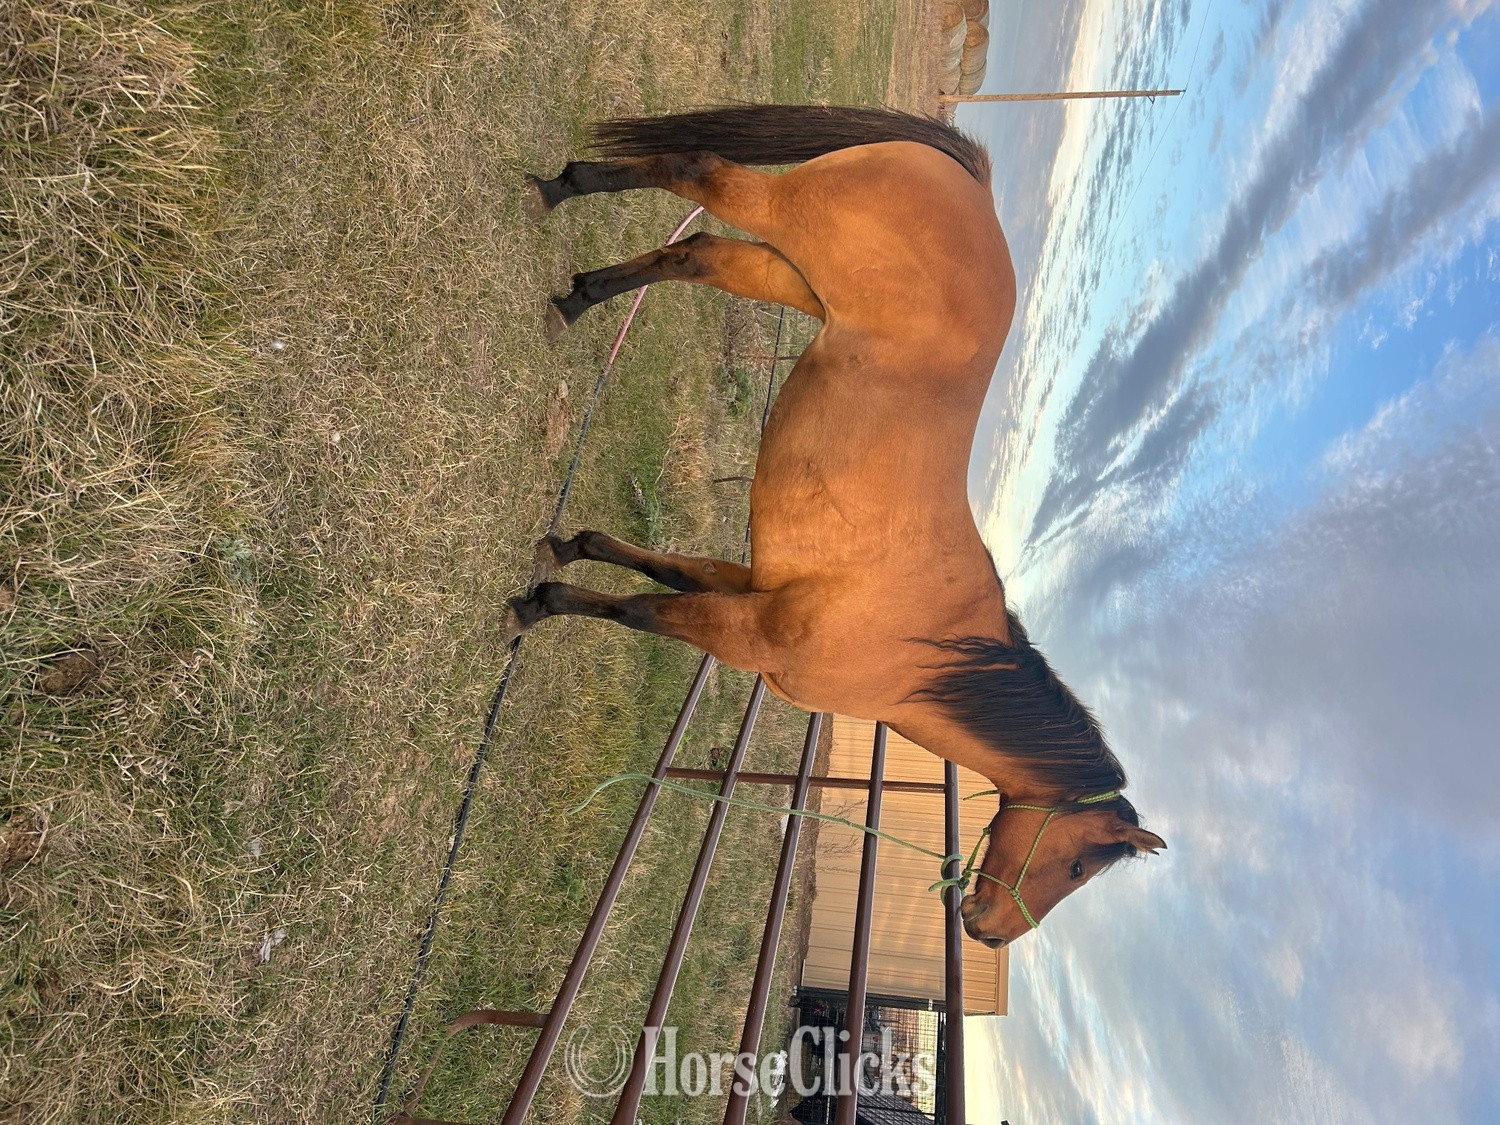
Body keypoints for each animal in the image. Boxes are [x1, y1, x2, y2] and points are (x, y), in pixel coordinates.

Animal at [507, 105, 1165, 947]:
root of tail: (975, 185)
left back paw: (578, 292)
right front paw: (536, 605)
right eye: (1078, 864)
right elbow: (642, 611)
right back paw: (559, 199)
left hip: (791, 273)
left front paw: (567, 548)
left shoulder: (747, 585)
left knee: (698, 253)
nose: (987, 930)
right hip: (784, 219)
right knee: (698, 170)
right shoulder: (744, 632)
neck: (921, 655)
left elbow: (654, 571)